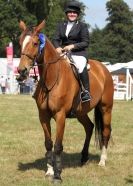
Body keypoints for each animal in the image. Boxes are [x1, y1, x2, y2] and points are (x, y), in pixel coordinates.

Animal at [17, 20, 114, 183]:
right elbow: (48, 144)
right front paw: (49, 171)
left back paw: (102, 161)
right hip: (81, 112)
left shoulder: (60, 115)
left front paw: (57, 175)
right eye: (20, 42)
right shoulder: (43, 116)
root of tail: (104, 69)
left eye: (36, 43)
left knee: (105, 131)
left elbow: (57, 146)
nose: (21, 71)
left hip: (106, 108)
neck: (52, 79)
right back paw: (84, 158)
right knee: (89, 127)